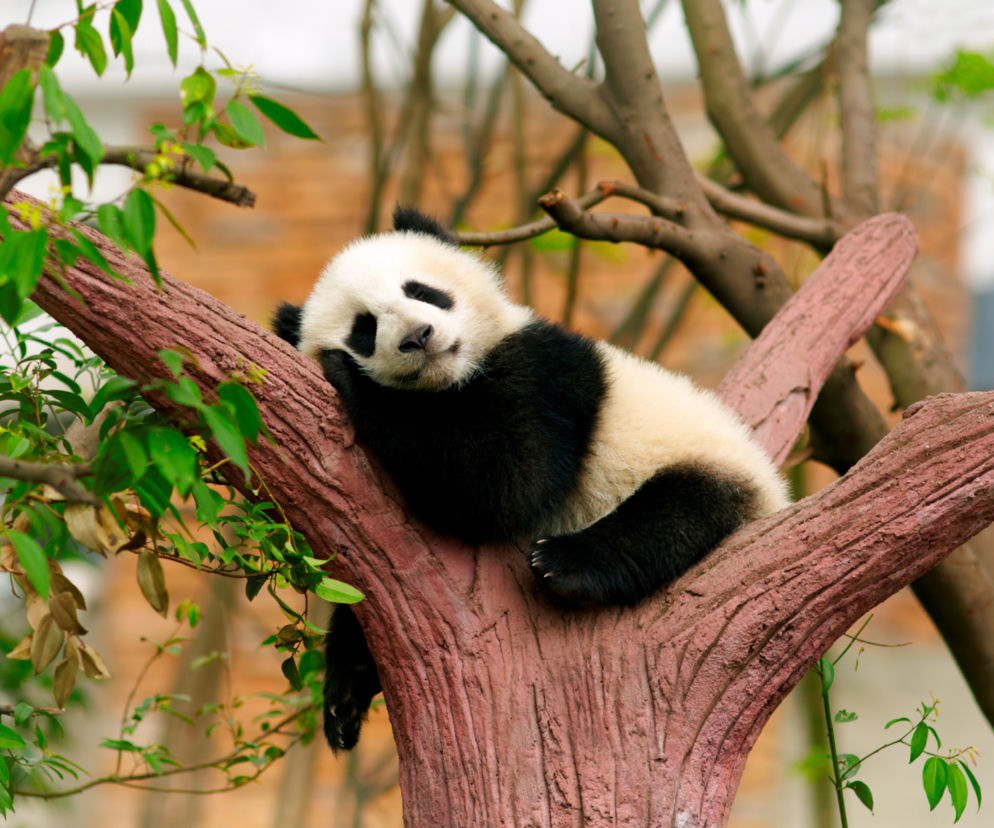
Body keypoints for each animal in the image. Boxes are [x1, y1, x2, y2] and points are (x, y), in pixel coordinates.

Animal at [273, 207, 789, 751]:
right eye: (365, 328)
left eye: (422, 291)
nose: (418, 336)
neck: (452, 380)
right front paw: (345, 693)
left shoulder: (544, 374)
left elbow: (505, 482)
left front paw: (350, 378)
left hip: (706, 462)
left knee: (676, 514)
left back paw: (566, 564)